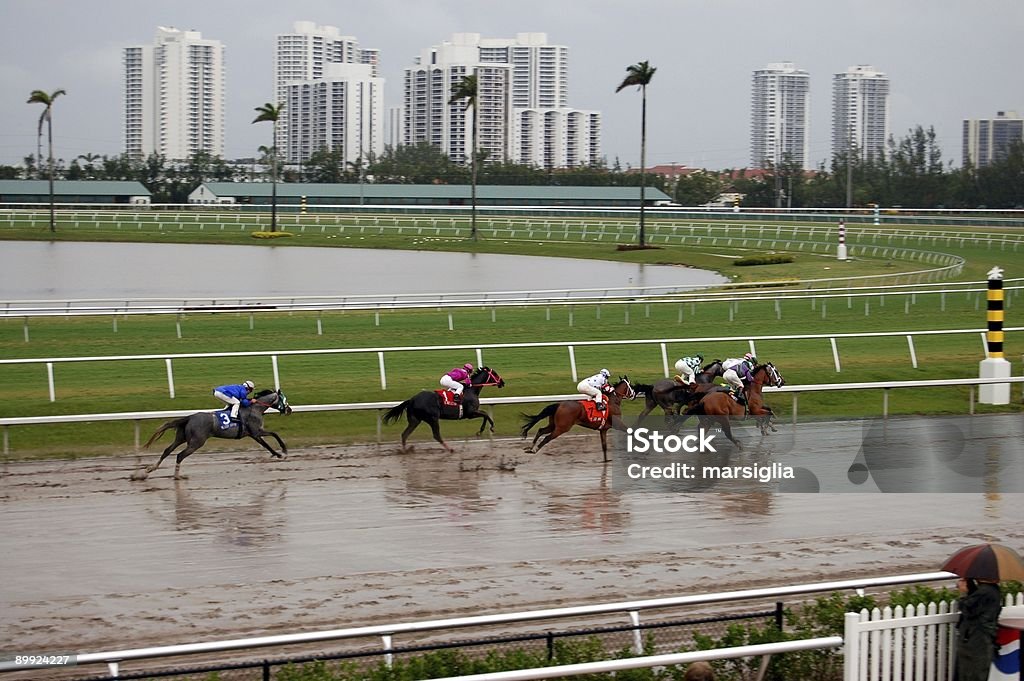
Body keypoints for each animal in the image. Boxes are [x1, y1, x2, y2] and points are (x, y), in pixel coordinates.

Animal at [132, 387, 292, 477]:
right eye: (284, 400)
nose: (290, 409)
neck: (254, 409)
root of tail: (189, 417)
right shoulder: (256, 432)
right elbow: (274, 436)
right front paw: (282, 452)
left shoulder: (253, 434)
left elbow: (268, 442)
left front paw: (278, 453)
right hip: (196, 442)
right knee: (180, 455)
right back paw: (177, 476)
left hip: (181, 438)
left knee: (167, 450)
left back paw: (150, 469)